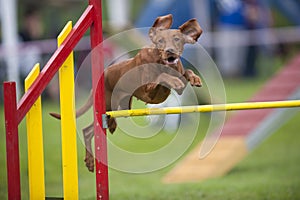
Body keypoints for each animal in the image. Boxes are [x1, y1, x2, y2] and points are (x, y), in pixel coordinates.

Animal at [51, 14, 203, 171]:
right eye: (160, 40)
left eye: (177, 39)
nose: (170, 51)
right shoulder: (149, 89)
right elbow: (162, 77)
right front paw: (174, 80)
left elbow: (186, 73)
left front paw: (194, 78)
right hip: (105, 108)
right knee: (87, 131)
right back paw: (90, 161)